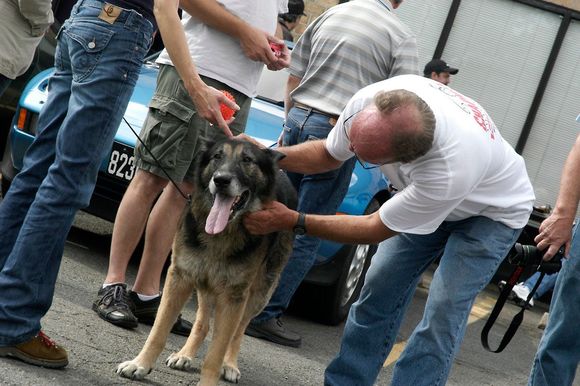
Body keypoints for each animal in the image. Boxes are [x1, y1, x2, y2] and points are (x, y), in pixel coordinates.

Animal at [116, 139, 296, 386]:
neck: (221, 235)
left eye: (247, 160)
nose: (221, 180)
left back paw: (230, 364)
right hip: (204, 284)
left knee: (238, 332)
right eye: (217, 157)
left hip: (258, 294)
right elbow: (158, 332)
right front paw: (140, 364)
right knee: (203, 323)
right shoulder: (180, 277)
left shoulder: (233, 297)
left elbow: (216, 352)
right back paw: (185, 354)